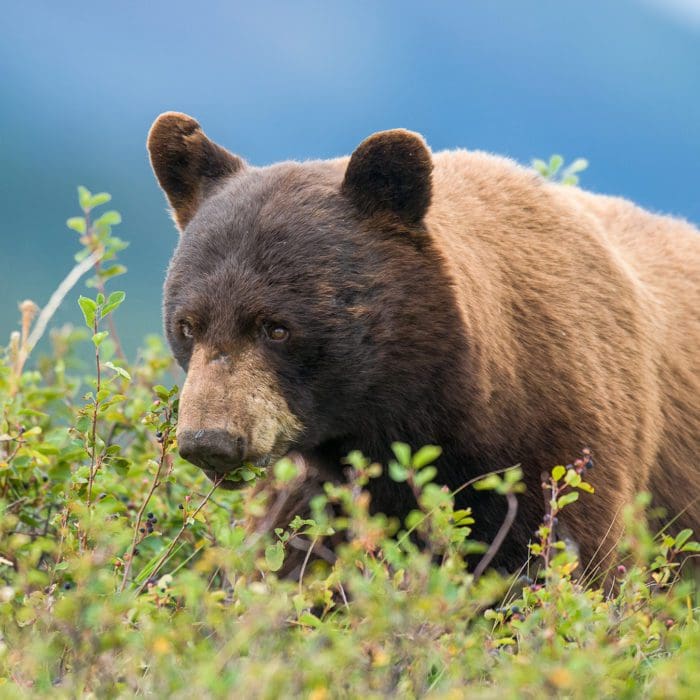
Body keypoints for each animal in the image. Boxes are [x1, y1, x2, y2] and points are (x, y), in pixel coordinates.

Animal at [147, 111, 700, 578]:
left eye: (276, 327)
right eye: (189, 325)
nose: (212, 439)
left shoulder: (564, 441)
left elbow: (561, 562)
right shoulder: (318, 491)